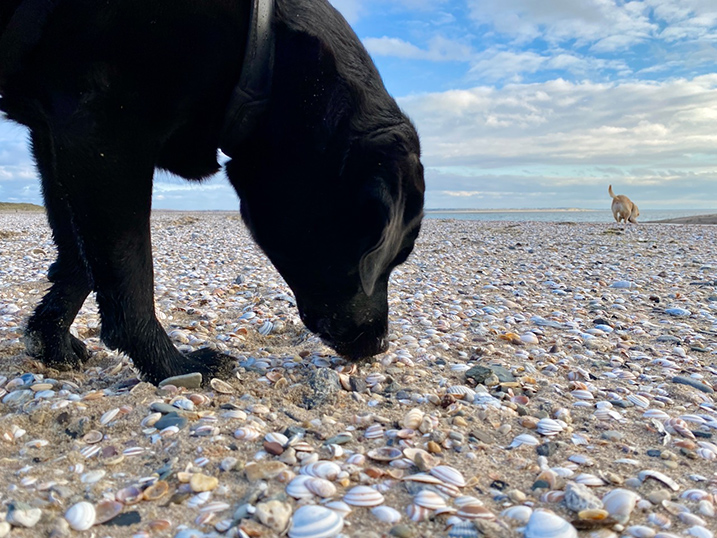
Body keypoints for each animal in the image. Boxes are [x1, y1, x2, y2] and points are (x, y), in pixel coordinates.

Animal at [0, 1, 422, 386]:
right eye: (387, 256)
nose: (382, 345)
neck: (262, 52)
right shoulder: (106, 137)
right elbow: (130, 272)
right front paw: (173, 366)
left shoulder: (59, 140)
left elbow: (80, 261)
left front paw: (50, 340)